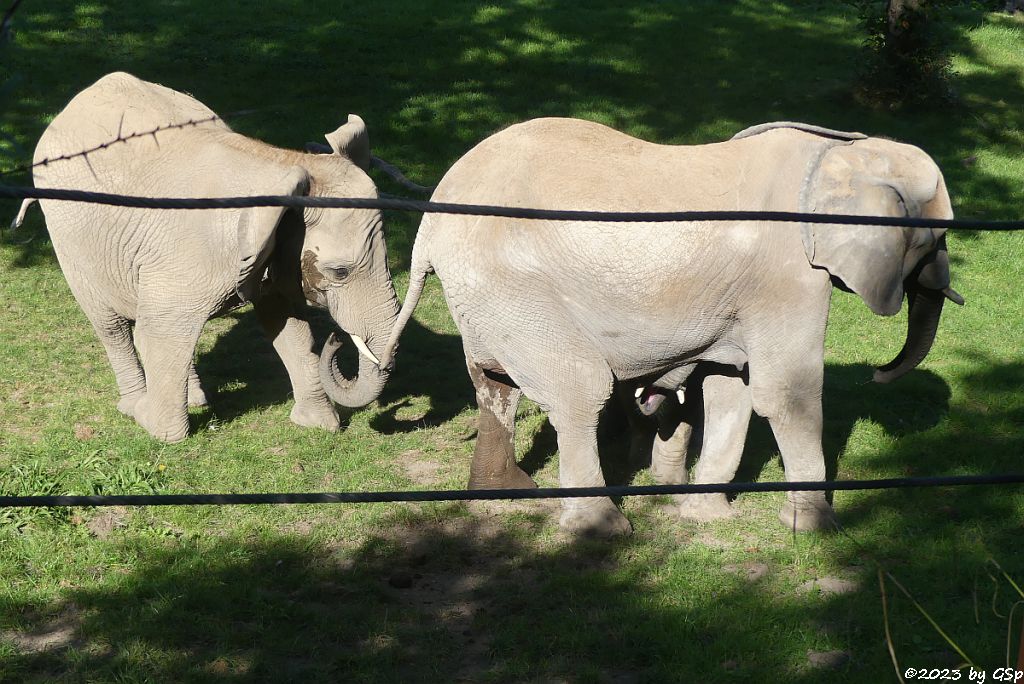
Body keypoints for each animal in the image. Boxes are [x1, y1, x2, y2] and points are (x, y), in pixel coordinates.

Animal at [17, 72, 399, 440]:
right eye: (339, 272)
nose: (338, 339)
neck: (285, 164)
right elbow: (155, 335)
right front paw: (151, 422)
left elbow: (286, 322)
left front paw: (318, 425)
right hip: (67, 232)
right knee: (112, 324)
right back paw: (134, 403)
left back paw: (195, 399)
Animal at [382, 118, 958, 540]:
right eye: (935, 237)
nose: (878, 375)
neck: (839, 154)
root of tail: (430, 219)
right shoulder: (788, 275)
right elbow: (785, 395)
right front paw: (816, 529)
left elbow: (733, 388)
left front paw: (708, 517)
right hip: (511, 286)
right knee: (578, 390)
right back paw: (603, 530)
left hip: (484, 295)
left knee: (494, 383)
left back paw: (507, 493)